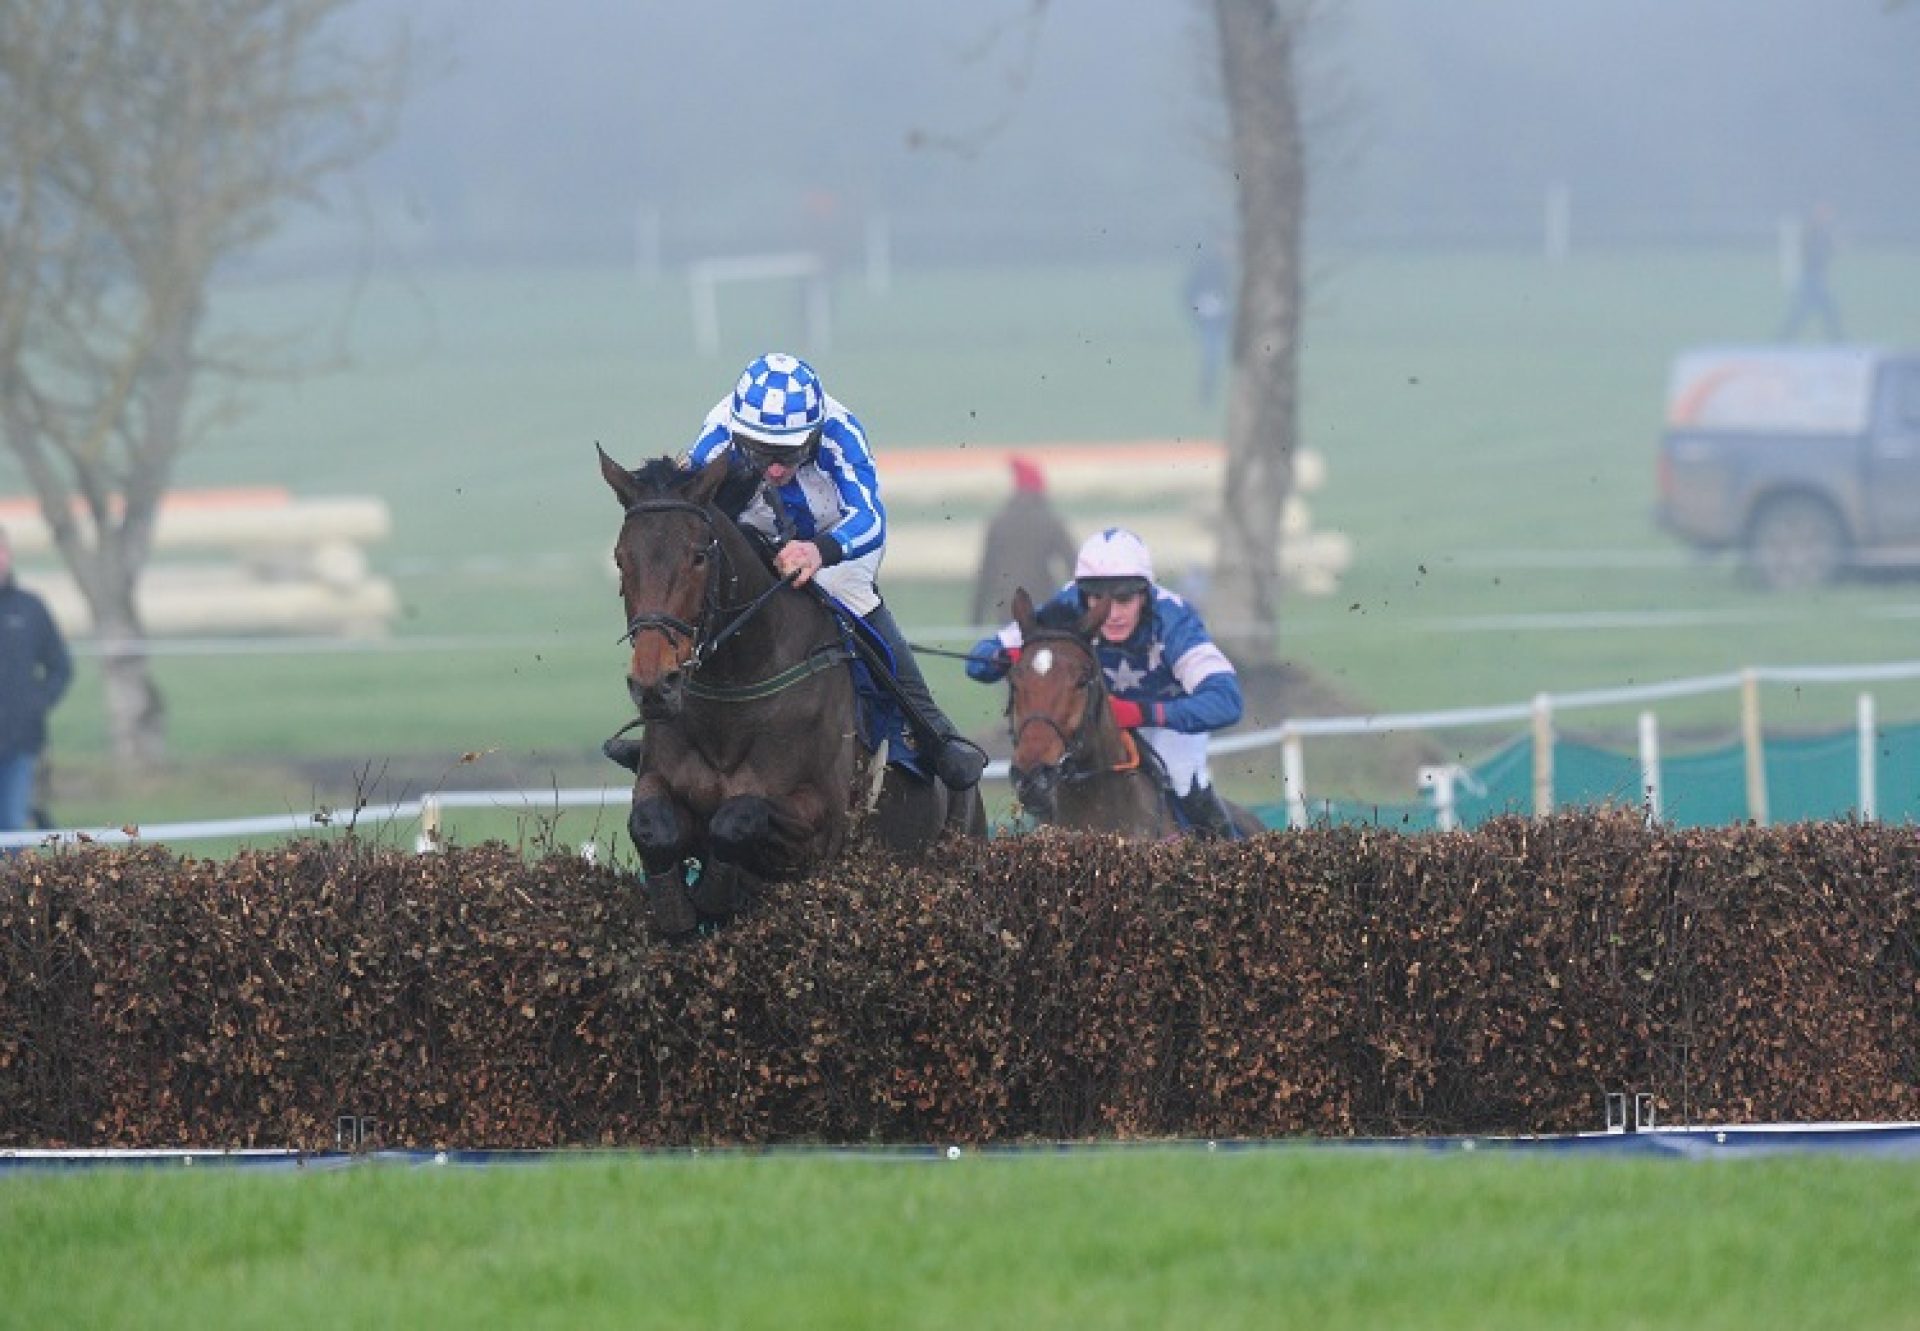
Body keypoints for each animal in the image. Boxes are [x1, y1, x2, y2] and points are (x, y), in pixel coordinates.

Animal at [595, 445, 983, 933]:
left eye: (699, 555)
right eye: (621, 558)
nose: (654, 685)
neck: (735, 697)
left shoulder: (821, 823)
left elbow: (739, 815)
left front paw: (716, 895)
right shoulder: (655, 779)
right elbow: (652, 825)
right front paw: (678, 908)